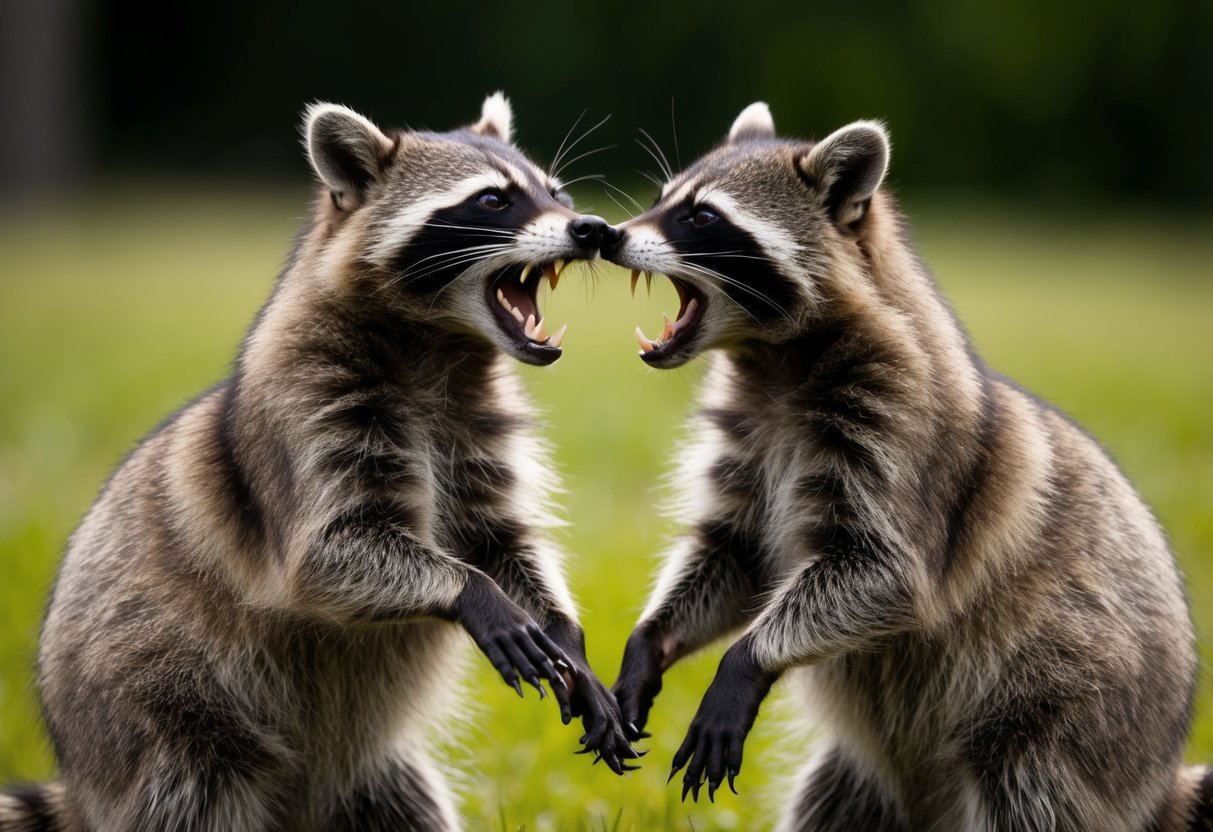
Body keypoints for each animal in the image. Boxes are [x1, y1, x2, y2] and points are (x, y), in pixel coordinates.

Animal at [0, 94, 635, 832]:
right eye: (492, 201)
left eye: (558, 195)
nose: (592, 228)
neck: (441, 350)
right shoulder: (307, 414)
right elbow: (329, 554)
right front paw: (471, 589)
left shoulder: (478, 437)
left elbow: (503, 541)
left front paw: (565, 632)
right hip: (159, 721)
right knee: (190, 793)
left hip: (371, 780)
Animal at [604, 103, 1213, 831]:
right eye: (661, 200)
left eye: (701, 217)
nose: (604, 235)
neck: (773, 363)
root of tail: (1159, 783)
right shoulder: (751, 446)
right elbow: (733, 557)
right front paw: (653, 638)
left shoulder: (905, 440)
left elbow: (884, 573)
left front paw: (746, 657)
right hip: (867, 780)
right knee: (828, 801)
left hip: (1068, 719)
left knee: (1028, 792)